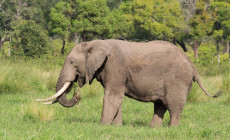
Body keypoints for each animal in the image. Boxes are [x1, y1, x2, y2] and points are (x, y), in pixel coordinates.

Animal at [36, 39, 221, 127]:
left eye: (72, 62)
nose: (77, 94)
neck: (96, 43)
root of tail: (192, 65)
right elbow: (117, 99)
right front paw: (116, 127)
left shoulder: (115, 67)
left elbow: (112, 97)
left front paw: (103, 126)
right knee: (160, 104)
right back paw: (153, 128)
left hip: (177, 79)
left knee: (173, 104)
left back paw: (172, 129)